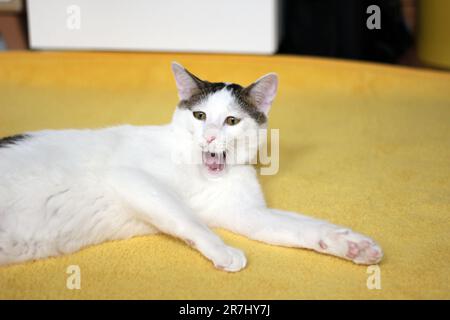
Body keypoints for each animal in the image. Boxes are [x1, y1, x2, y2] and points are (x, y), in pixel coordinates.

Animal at [0, 62, 382, 270]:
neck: (204, 176)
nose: (210, 136)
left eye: (231, 120)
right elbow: (187, 217)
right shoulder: (131, 178)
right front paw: (224, 251)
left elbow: (301, 227)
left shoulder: (246, 212)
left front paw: (351, 245)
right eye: (199, 115)